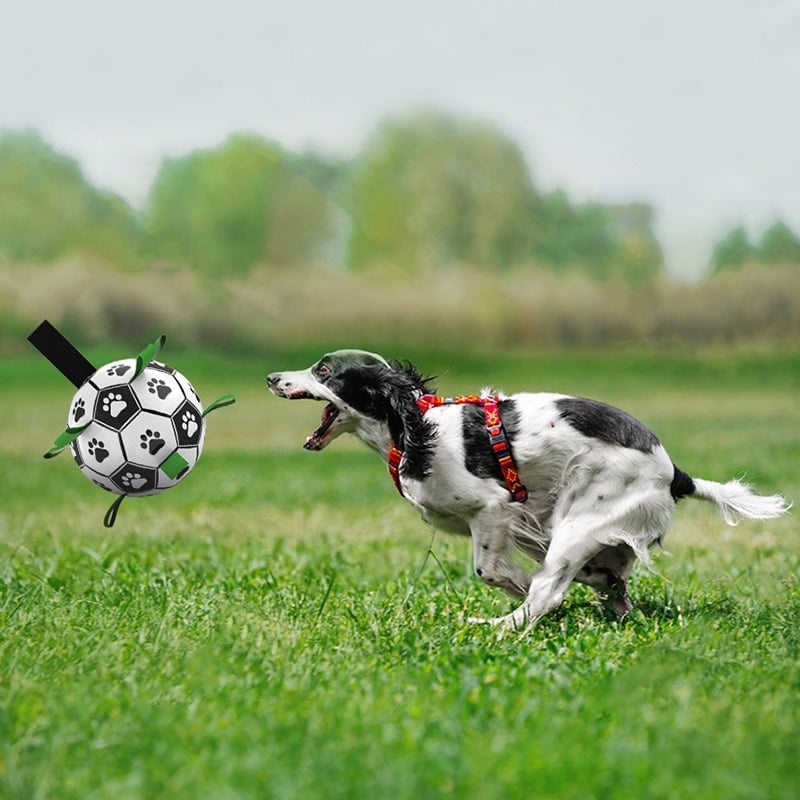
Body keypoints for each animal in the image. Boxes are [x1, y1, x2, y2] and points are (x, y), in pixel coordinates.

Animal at [268, 350, 788, 632]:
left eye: (324, 371)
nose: (272, 377)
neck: (414, 428)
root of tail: (675, 473)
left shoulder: (494, 509)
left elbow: (492, 571)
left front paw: (515, 586)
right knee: (612, 588)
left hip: (577, 524)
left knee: (547, 596)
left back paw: (495, 627)